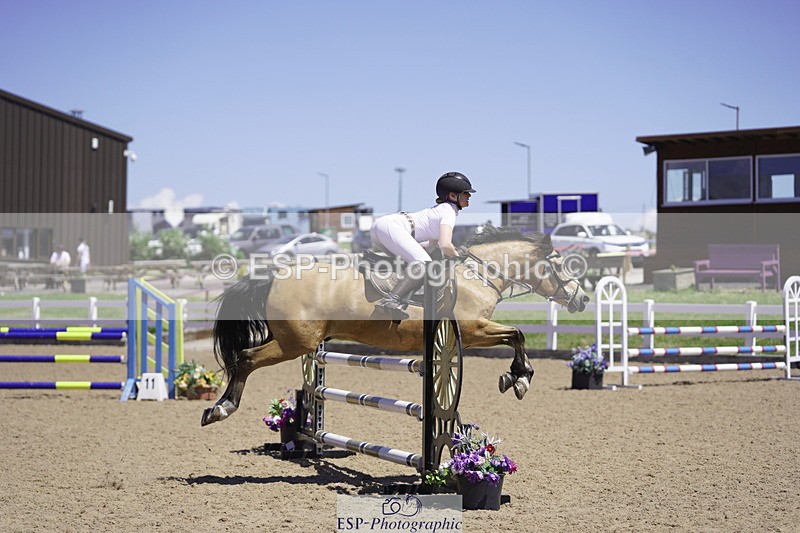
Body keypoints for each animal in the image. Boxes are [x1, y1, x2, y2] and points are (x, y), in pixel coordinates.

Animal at [201, 225, 589, 426]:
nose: (582, 299)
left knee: (246, 359)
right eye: (558, 264)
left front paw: (516, 377)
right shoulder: (472, 330)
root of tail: (274, 277)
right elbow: (517, 334)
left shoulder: (470, 335)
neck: (477, 274)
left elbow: (515, 337)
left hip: (297, 342)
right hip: (296, 343)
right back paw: (220, 408)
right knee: (246, 359)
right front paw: (519, 378)